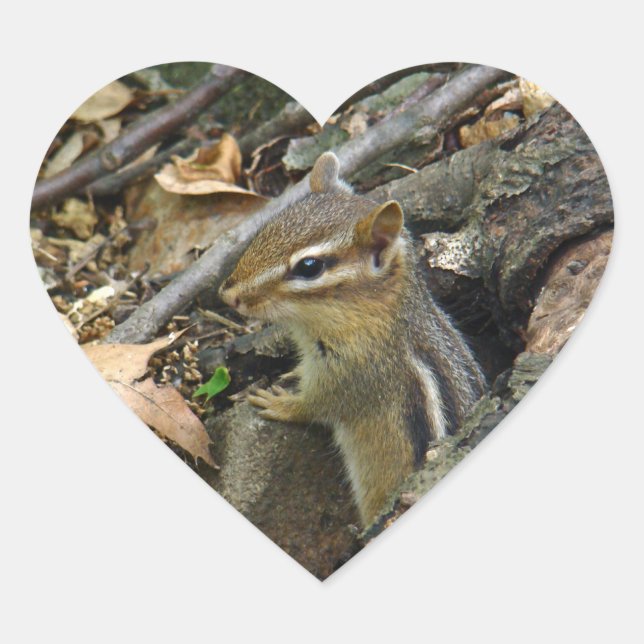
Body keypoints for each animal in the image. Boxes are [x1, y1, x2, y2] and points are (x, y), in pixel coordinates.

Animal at [219, 152, 486, 527]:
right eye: (268, 229)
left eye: (309, 267)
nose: (228, 296)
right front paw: (292, 374)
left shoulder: (356, 373)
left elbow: (318, 405)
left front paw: (279, 403)